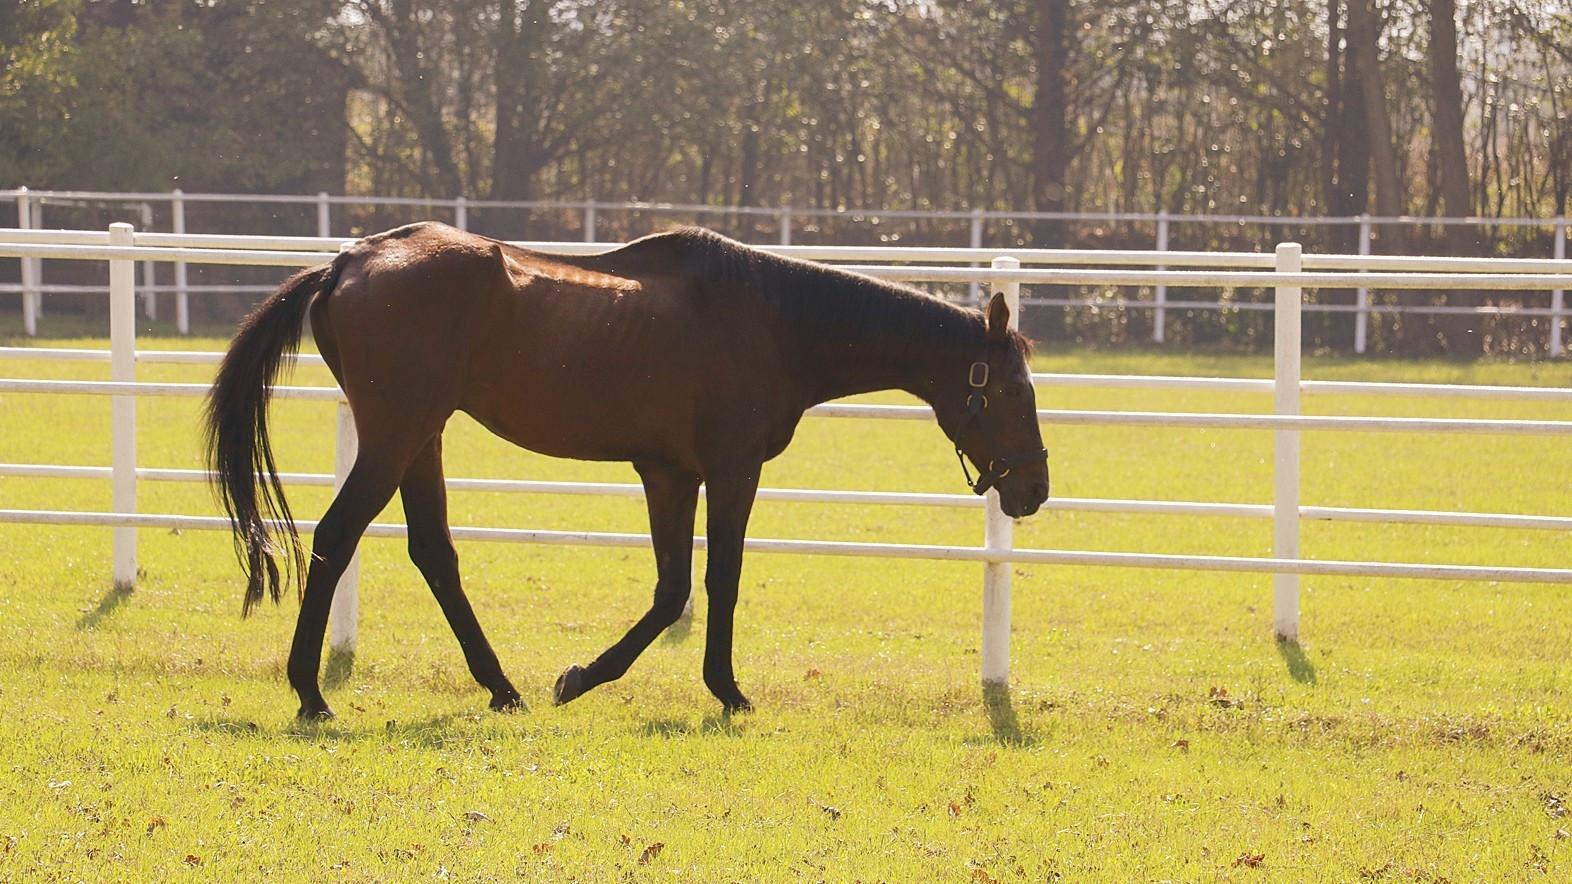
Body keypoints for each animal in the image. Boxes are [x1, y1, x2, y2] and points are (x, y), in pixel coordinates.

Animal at [204, 223, 1049, 719]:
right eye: (1013, 388)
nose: (1035, 487)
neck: (773, 319)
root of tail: (349, 262)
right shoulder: (730, 469)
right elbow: (718, 579)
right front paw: (724, 690)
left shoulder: (669, 474)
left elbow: (673, 588)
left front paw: (580, 677)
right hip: (394, 436)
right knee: (336, 536)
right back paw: (310, 692)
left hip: (422, 439)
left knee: (434, 554)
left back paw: (501, 688)